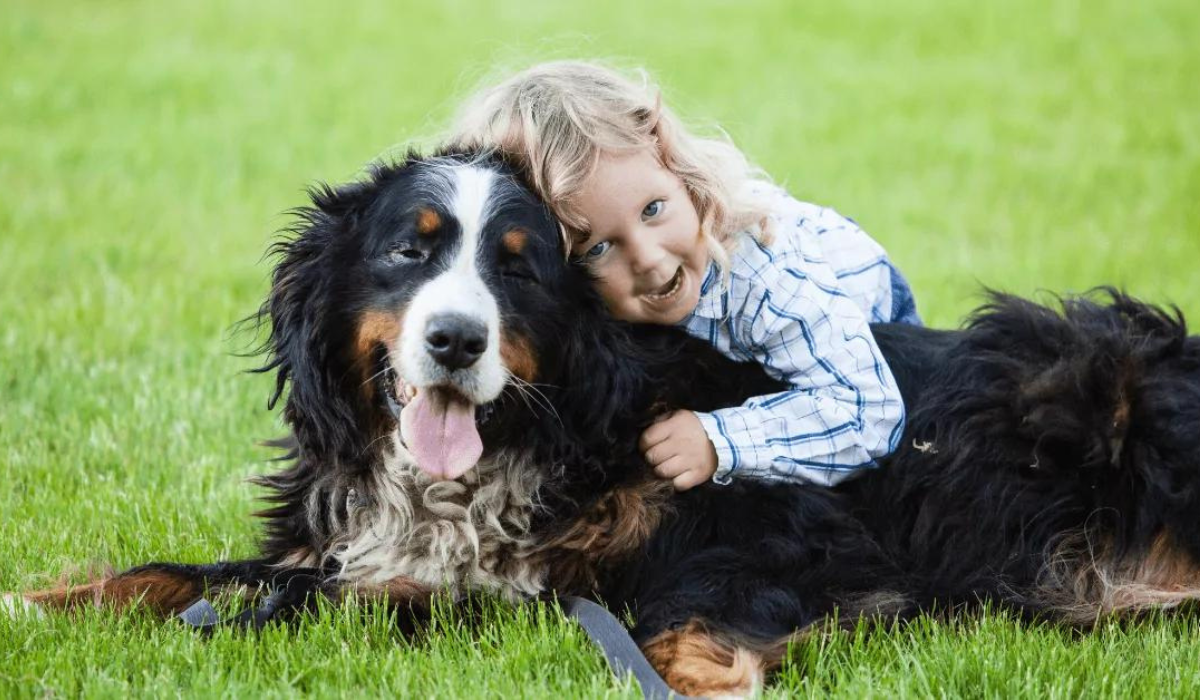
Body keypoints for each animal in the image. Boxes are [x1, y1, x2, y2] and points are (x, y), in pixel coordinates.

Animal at [9, 150, 1200, 696]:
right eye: (409, 250)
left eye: (519, 268)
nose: (455, 340)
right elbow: (175, 575)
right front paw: (42, 601)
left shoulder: (780, 540)